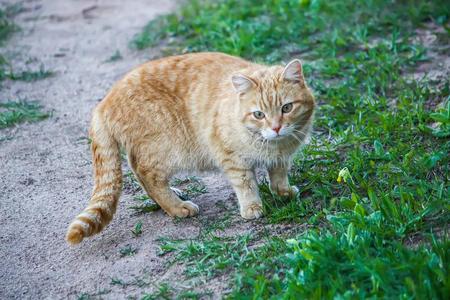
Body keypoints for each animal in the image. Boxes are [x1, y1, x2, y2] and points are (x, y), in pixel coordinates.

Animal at [66, 52, 312, 244]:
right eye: (259, 114)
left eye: (287, 108)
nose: (276, 128)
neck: (273, 145)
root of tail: (104, 102)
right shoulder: (231, 158)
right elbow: (246, 184)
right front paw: (252, 207)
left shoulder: (282, 158)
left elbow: (278, 174)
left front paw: (282, 192)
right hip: (167, 149)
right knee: (147, 175)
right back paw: (177, 207)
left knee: (138, 172)